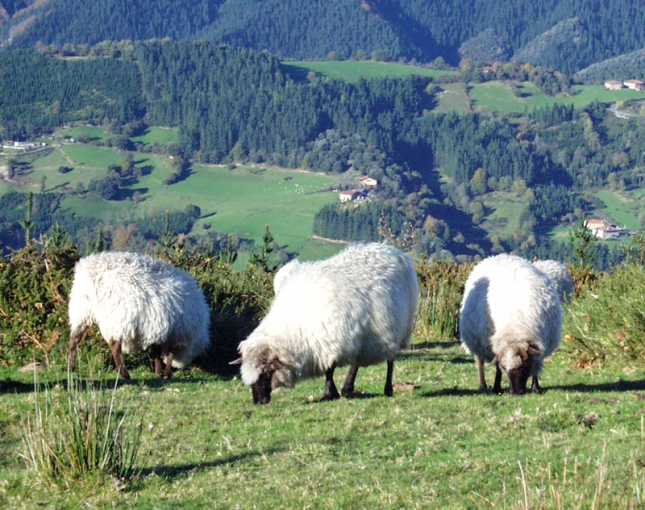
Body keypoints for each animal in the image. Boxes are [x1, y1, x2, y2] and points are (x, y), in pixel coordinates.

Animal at [67, 251, 210, 378]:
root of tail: (92, 275)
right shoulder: (177, 334)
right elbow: (168, 354)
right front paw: (166, 374)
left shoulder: (160, 330)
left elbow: (156, 351)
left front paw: (158, 372)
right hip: (119, 316)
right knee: (115, 346)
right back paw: (125, 375)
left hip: (81, 311)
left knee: (74, 339)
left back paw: (71, 367)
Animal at [234, 241, 420, 404]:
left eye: (266, 373)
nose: (259, 401)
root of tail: (394, 250)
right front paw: (334, 392)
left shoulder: (332, 339)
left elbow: (329, 369)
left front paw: (329, 393)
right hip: (363, 335)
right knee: (356, 361)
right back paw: (347, 388)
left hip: (399, 326)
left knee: (390, 361)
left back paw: (387, 389)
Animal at [458, 254, 560, 394]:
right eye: (504, 368)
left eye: (524, 366)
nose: (516, 392)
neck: (515, 329)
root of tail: (500, 256)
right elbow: (496, 368)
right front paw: (496, 387)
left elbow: (536, 365)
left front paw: (535, 387)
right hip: (475, 341)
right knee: (480, 363)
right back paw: (483, 385)